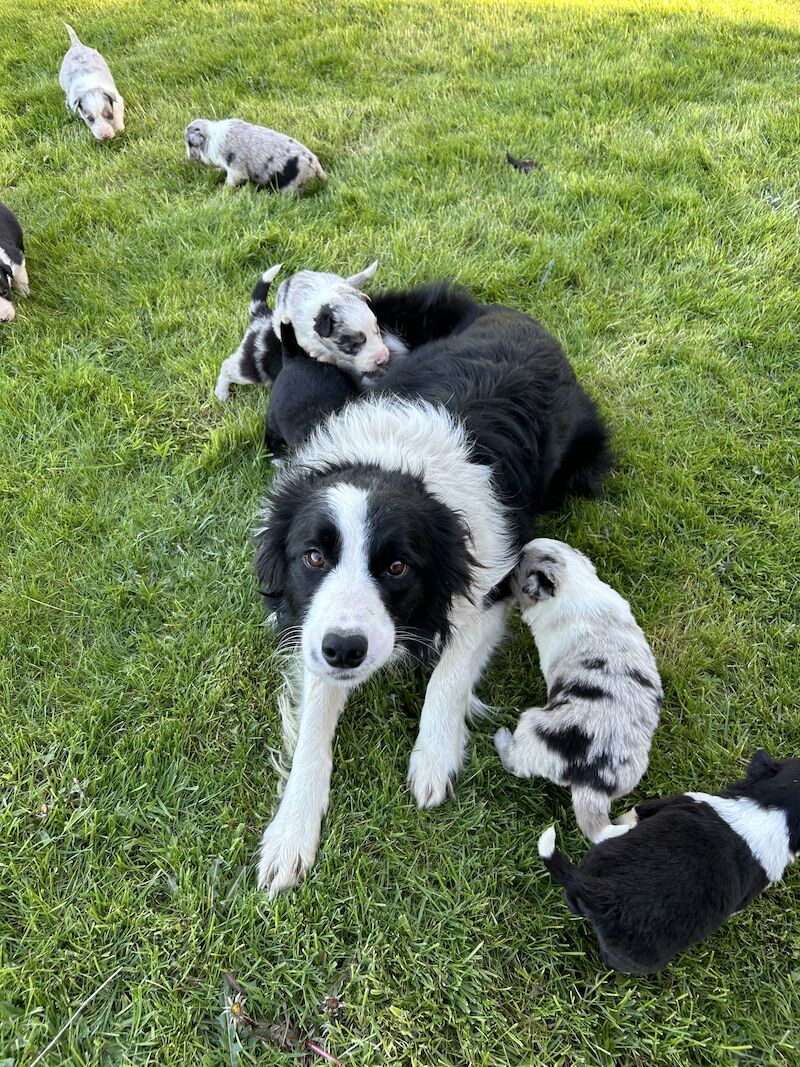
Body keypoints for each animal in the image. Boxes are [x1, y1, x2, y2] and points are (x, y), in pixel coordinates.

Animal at [494, 537, 665, 845]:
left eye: (514, 573)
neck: (574, 584)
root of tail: (592, 783)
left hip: (532, 725)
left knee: (515, 762)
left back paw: (501, 738)